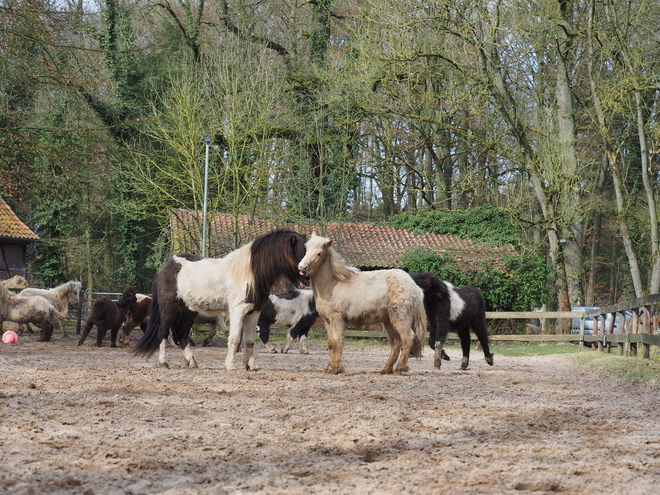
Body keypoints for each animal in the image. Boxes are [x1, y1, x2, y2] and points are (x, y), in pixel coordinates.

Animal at [136, 231, 310, 370]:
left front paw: (251, 365)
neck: (251, 273)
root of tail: (166, 267)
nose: (306, 279)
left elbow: (249, 340)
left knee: (182, 334)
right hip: (169, 308)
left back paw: (191, 362)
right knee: (164, 332)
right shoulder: (237, 310)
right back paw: (163, 362)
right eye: (298, 253)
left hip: (189, 311)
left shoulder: (253, 312)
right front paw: (230, 365)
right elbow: (234, 338)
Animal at [296, 234, 426, 374]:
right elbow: (331, 343)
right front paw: (330, 368)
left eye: (319, 253)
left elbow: (337, 342)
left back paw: (400, 367)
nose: (302, 268)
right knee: (396, 342)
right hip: (388, 321)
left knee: (408, 338)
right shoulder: (328, 321)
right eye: (306, 249)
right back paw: (386, 369)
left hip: (400, 318)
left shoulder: (337, 319)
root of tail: (415, 287)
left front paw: (337, 369)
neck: (333, 284)